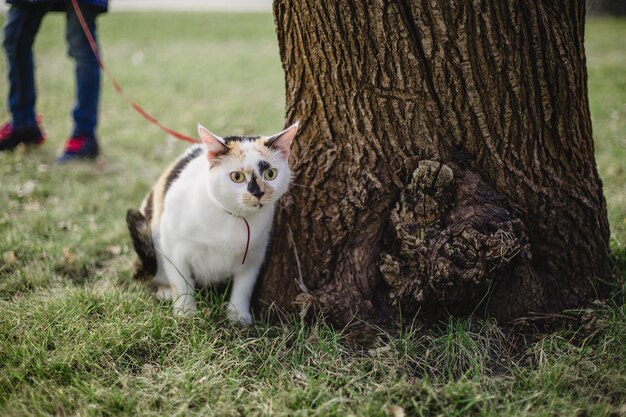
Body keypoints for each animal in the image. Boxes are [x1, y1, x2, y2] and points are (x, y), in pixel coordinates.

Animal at [126, 122, 298, 324]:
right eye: (237, 177)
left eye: (270, 174)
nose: (258, 193)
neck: (235, 218)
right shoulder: (171, 244)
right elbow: (181, 281)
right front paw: (185, 311)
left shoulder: (255, 254)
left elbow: (244, 287)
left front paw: (238, 315)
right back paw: (165, 292)